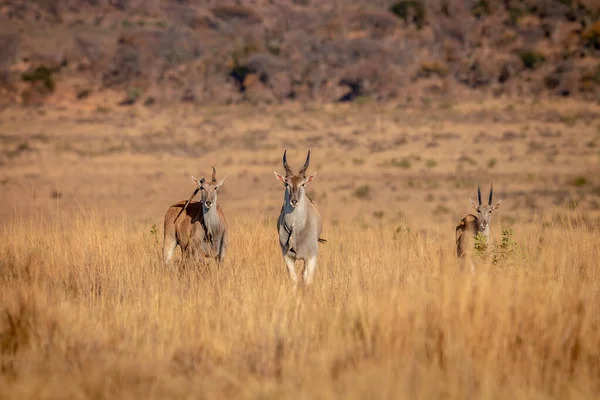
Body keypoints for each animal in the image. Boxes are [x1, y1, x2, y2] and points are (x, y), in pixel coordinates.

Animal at [274, 150, 326, 284]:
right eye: (286, 183)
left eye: (302, 184)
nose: (294, 201)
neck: (296, 228)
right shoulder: (287, 257)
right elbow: (294, 279)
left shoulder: (311, 257)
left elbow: (308, 280)